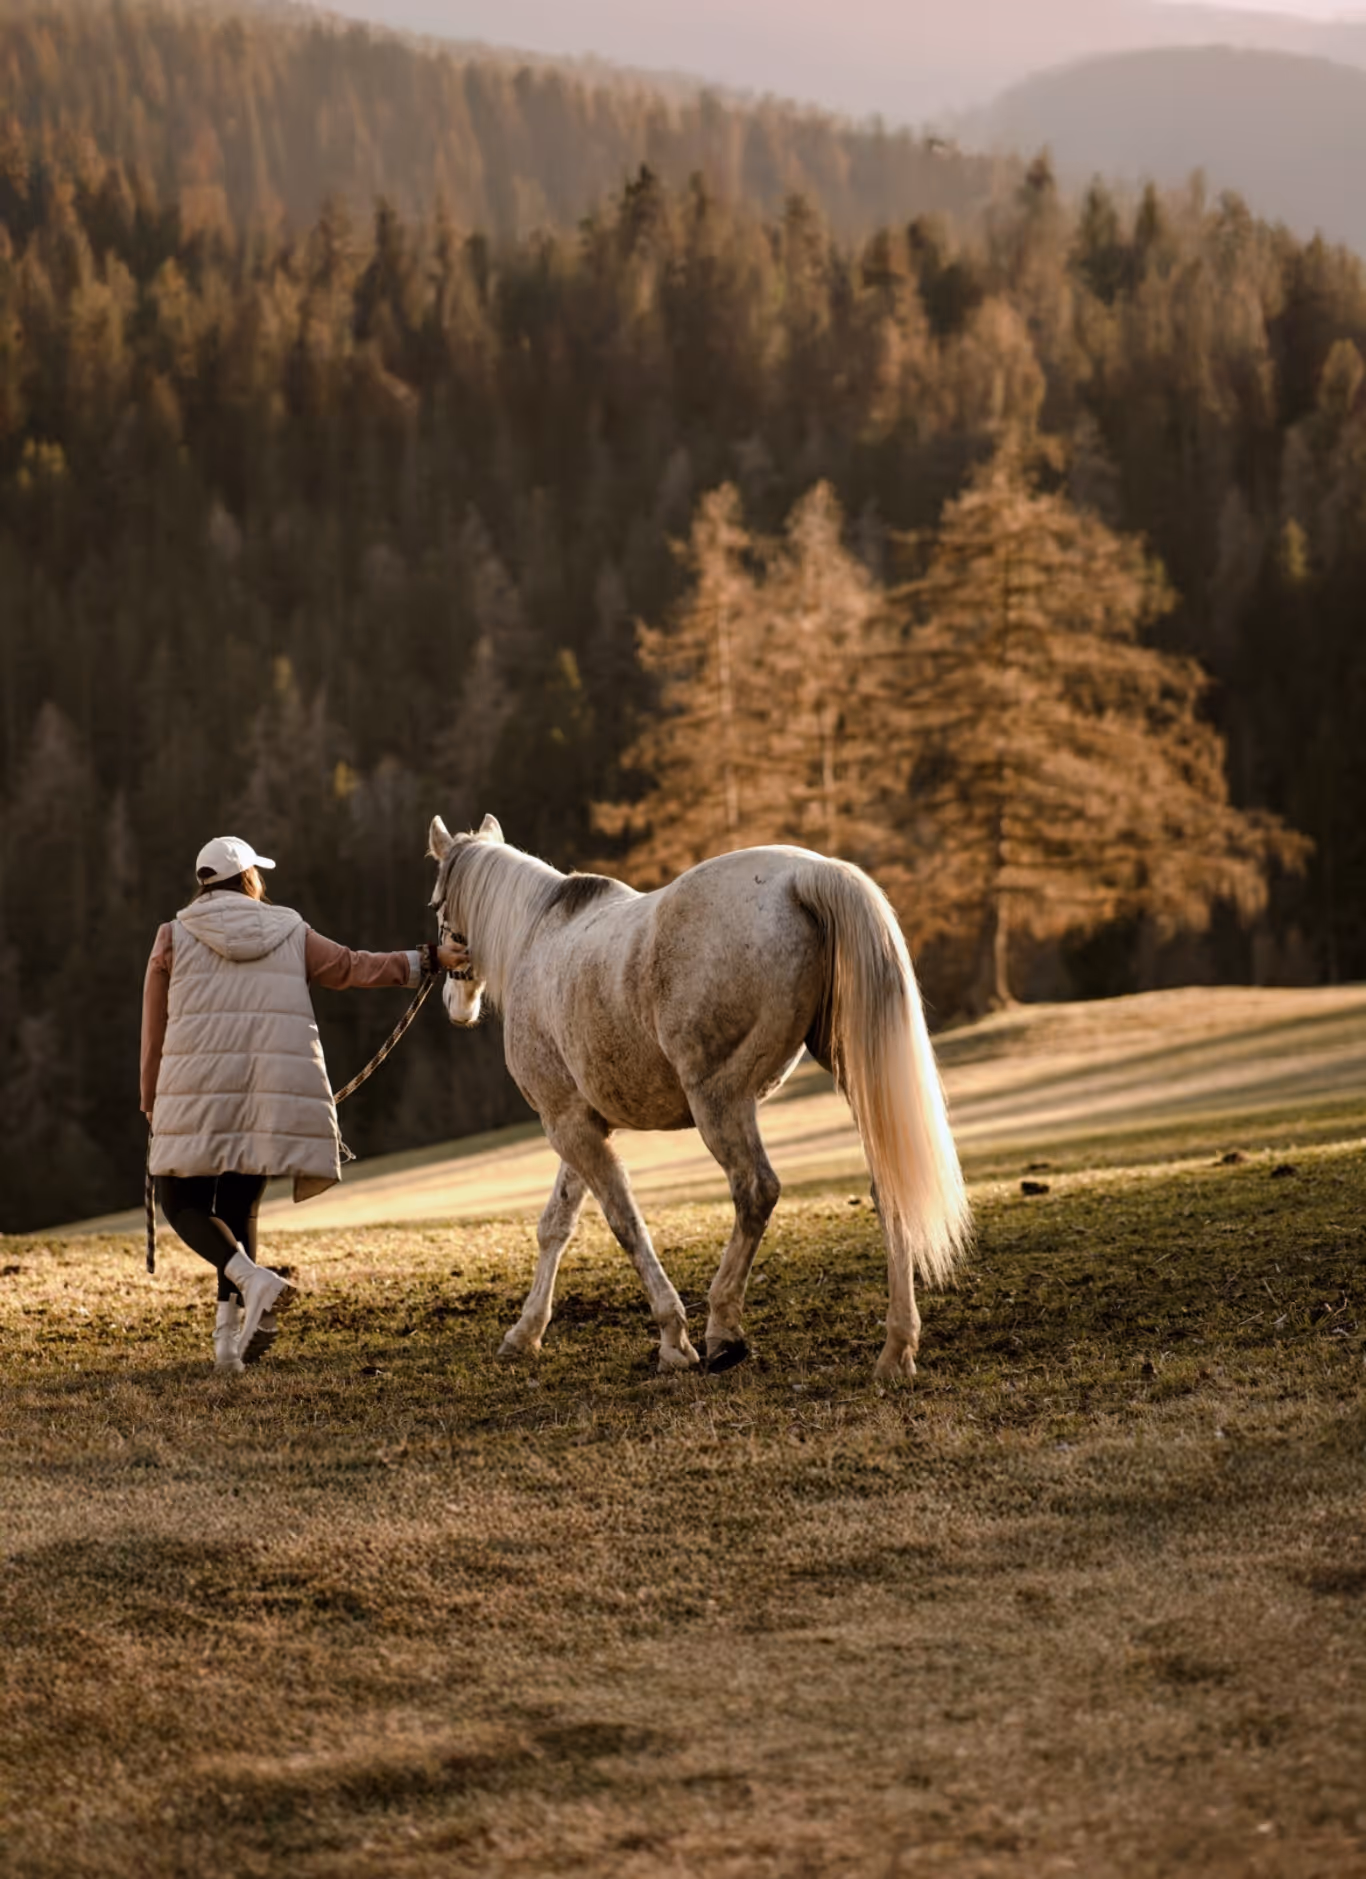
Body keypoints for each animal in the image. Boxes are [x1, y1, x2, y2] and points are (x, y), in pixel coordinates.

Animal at [427, 814, 971, 1379]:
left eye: (436, 906)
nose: (453, 1003)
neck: (537, 938)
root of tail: (807, 873)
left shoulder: (567, 1126)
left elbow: (625, 1223)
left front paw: (673, 1338)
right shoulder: (582, 1124)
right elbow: (557, 1224)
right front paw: (525, 1332)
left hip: (719, 1102)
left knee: (756, 1191)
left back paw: (723, 1330)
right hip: (857, 1087)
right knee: (889, 1189)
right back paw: (897, 1346)